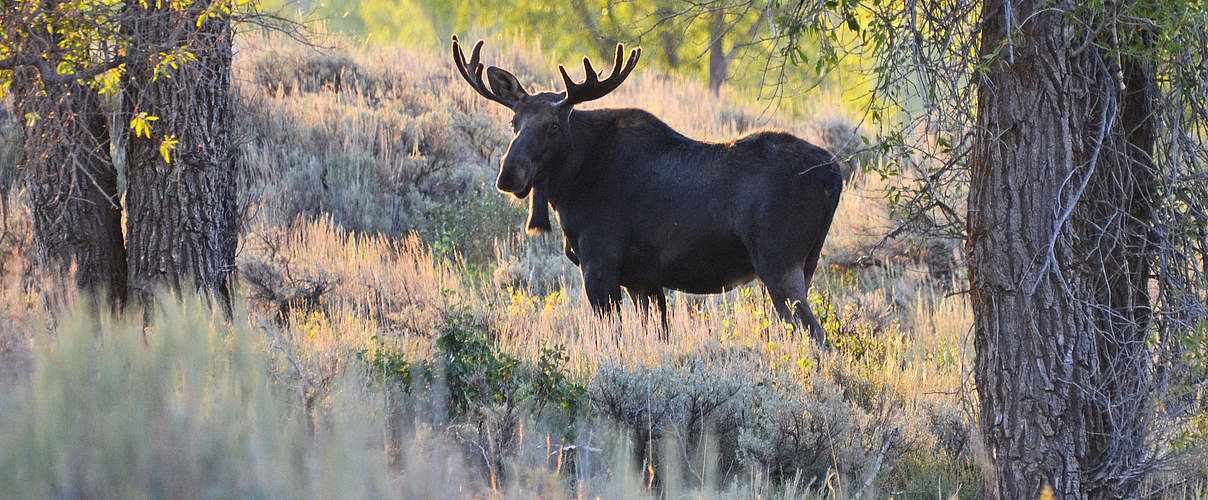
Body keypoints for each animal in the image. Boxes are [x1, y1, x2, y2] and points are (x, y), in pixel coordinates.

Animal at [451, 34, 840, 340]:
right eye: (513, 122)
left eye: (554, 124)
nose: (509, 174)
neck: (571, 189)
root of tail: (834, 174)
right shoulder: (642, 280)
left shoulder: (600, 265)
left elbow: (614, 340)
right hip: (804, 265)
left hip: (778, 264)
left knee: (816, 335)